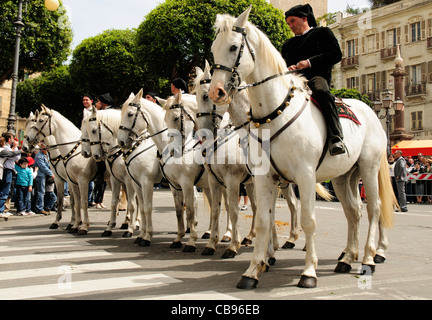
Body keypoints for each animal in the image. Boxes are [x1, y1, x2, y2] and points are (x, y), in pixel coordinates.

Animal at [24, 105, 98, 235]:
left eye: (39, 121)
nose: (25, 145)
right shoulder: (60, 180)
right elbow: (63, 200)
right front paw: (59, 222)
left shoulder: (77, 180)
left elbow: (77, 202)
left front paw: (77, 224)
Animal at [82, 107, 141, 238]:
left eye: (93, 130)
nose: (87, 153)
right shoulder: (115, 180)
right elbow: (114, 202)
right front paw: (110, 227)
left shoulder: (129, 180)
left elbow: (132, 204)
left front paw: (130, 229)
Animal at [117, 89, 212, 251]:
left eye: (129, 114)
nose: (122, 142)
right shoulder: (146, 183)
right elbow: (147, 208)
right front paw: (143, 235)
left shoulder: (150, 182)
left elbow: (149, 207)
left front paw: (147, 237)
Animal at [208, 7, 396, 288]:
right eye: (213, 49)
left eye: (233, 47)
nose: (216, 92)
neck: (274, 113)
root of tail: (371, 112)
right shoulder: (264, 178)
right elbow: (263, 220)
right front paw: (253, 271)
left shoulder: (305, 176)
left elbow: (308, 220)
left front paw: (308, 272)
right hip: (343, 177)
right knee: (354, 212)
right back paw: (346, 258)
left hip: (369, 168)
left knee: (374, 209)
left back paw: (369, 258)